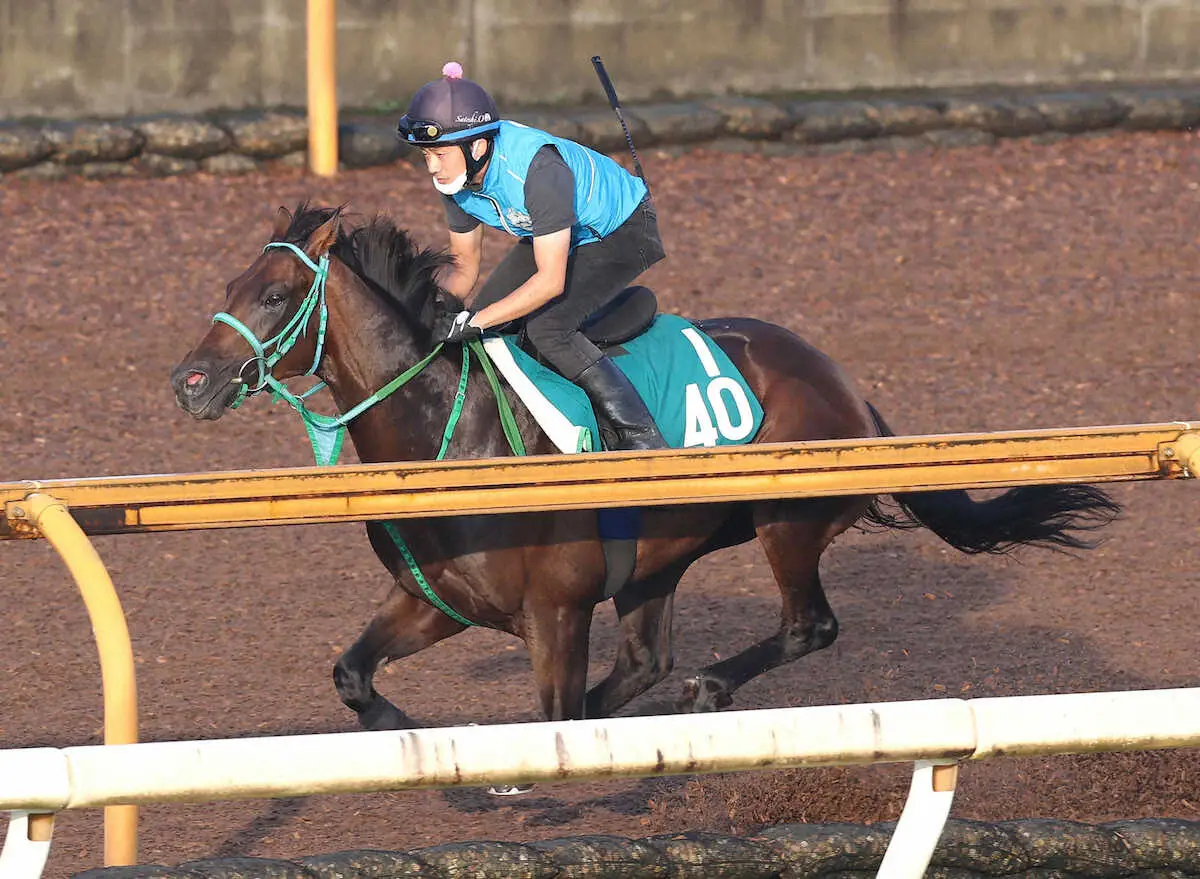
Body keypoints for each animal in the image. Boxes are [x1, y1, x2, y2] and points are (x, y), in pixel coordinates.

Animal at [171, 204, 1123, 730]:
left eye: (275, 294)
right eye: (230, 284)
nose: (188, 382)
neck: (451, 428)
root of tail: (848, 386)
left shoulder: (554, 611)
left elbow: (551, 716)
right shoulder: (438, 599)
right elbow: (352, 671)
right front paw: (400, 722)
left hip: (785, 524)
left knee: (808, 626)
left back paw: (710, 685)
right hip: (657, 559)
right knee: (644, 661)